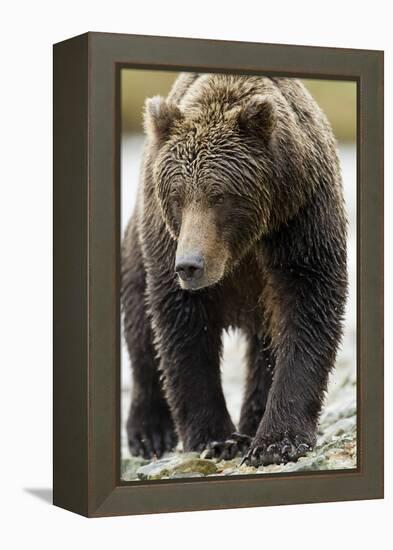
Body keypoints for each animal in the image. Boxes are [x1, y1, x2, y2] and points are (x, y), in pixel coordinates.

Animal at [120, 73, 346, 468]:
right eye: (176, 197)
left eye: (219, 195)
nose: (190, 265)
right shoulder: (166, 243)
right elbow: (184, 329)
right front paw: (217, 439)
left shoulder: (301, 219)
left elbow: (308, 310)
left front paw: (277, 441)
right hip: (137, 249)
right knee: (141, 331)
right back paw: (150, 433)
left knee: (265, 348)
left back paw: (253, 422)